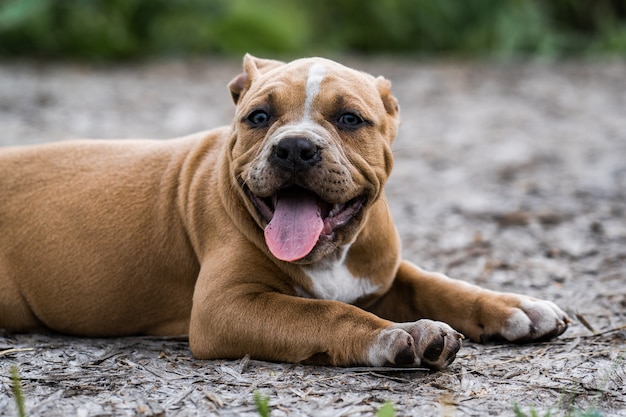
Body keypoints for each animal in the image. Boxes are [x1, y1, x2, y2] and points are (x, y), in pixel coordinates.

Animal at [0, 54, 564, 368]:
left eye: (350, 118)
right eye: (258, 117)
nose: (294, 147)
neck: (331, 256)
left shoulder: (383, 272)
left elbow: (439, 283)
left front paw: (515, 307)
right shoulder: (226, 306)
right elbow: (322, 312)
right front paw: (392, 334)